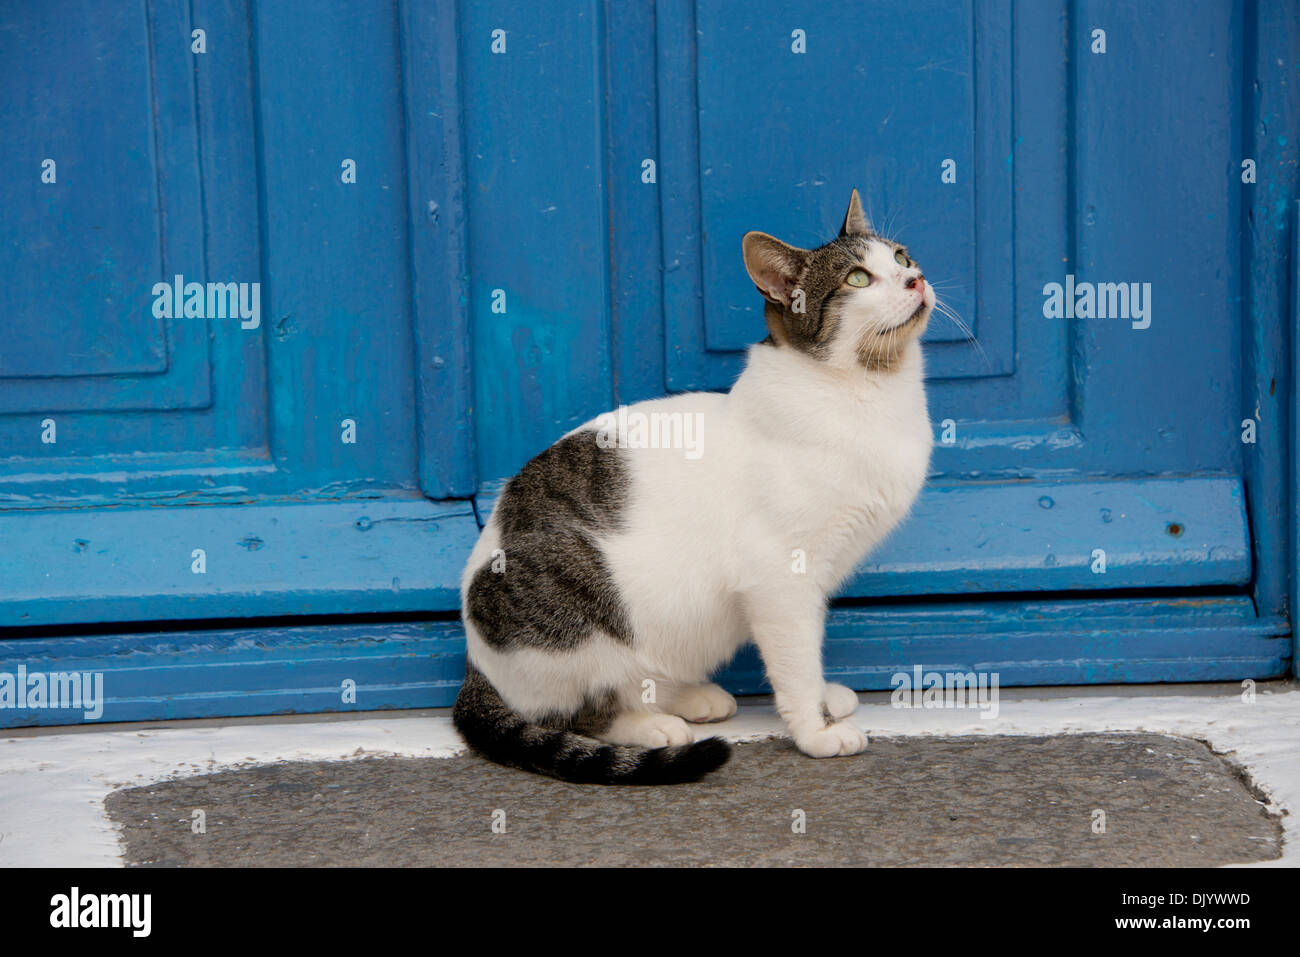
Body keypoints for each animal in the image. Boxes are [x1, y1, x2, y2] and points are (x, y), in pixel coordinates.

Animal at [452, 191, 930, 780]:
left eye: (902, 257)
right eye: (859, 278)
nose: (916, 279)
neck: (871, 393)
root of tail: (475, 665)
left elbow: (809, 649)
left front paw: (822, 698)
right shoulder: (781, 580)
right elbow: (795, 659)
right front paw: (815, 732)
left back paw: (691, 696)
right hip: (577, 613)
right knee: (579, 711)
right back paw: (654, 727)